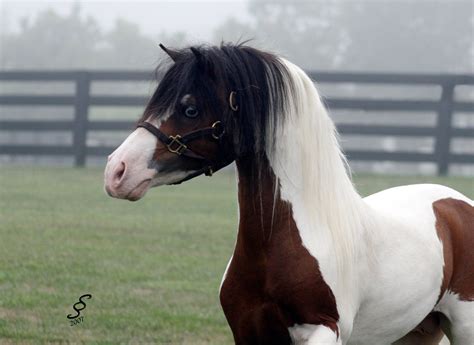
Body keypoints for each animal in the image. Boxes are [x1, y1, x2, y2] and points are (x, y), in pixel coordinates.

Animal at [104, 43, 474, 344]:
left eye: (190, 109)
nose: (117, 171)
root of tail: (457, 203)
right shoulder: (248, 332)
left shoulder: (324, 331)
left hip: (462, 327)